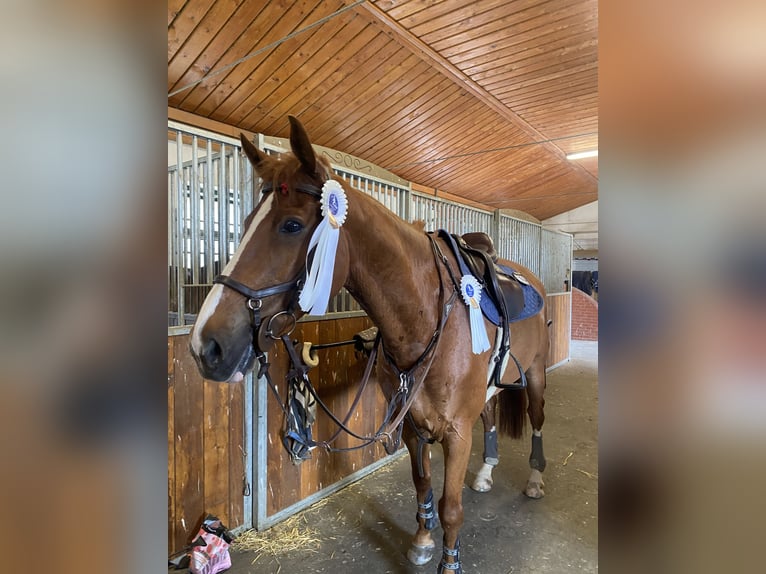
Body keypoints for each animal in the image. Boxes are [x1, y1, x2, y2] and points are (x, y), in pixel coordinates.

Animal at [192, 118, 552, 574]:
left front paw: (449, 562)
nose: (205, 345)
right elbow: (422, 483)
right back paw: (486, 473)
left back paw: (535, 480)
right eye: (245, 222)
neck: (427, 320)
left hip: (536, 375)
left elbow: (451, 507)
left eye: (291, 225)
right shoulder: (411, 426)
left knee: (537, 420)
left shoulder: (455, 434)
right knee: (488, 417)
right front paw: (422, 540)